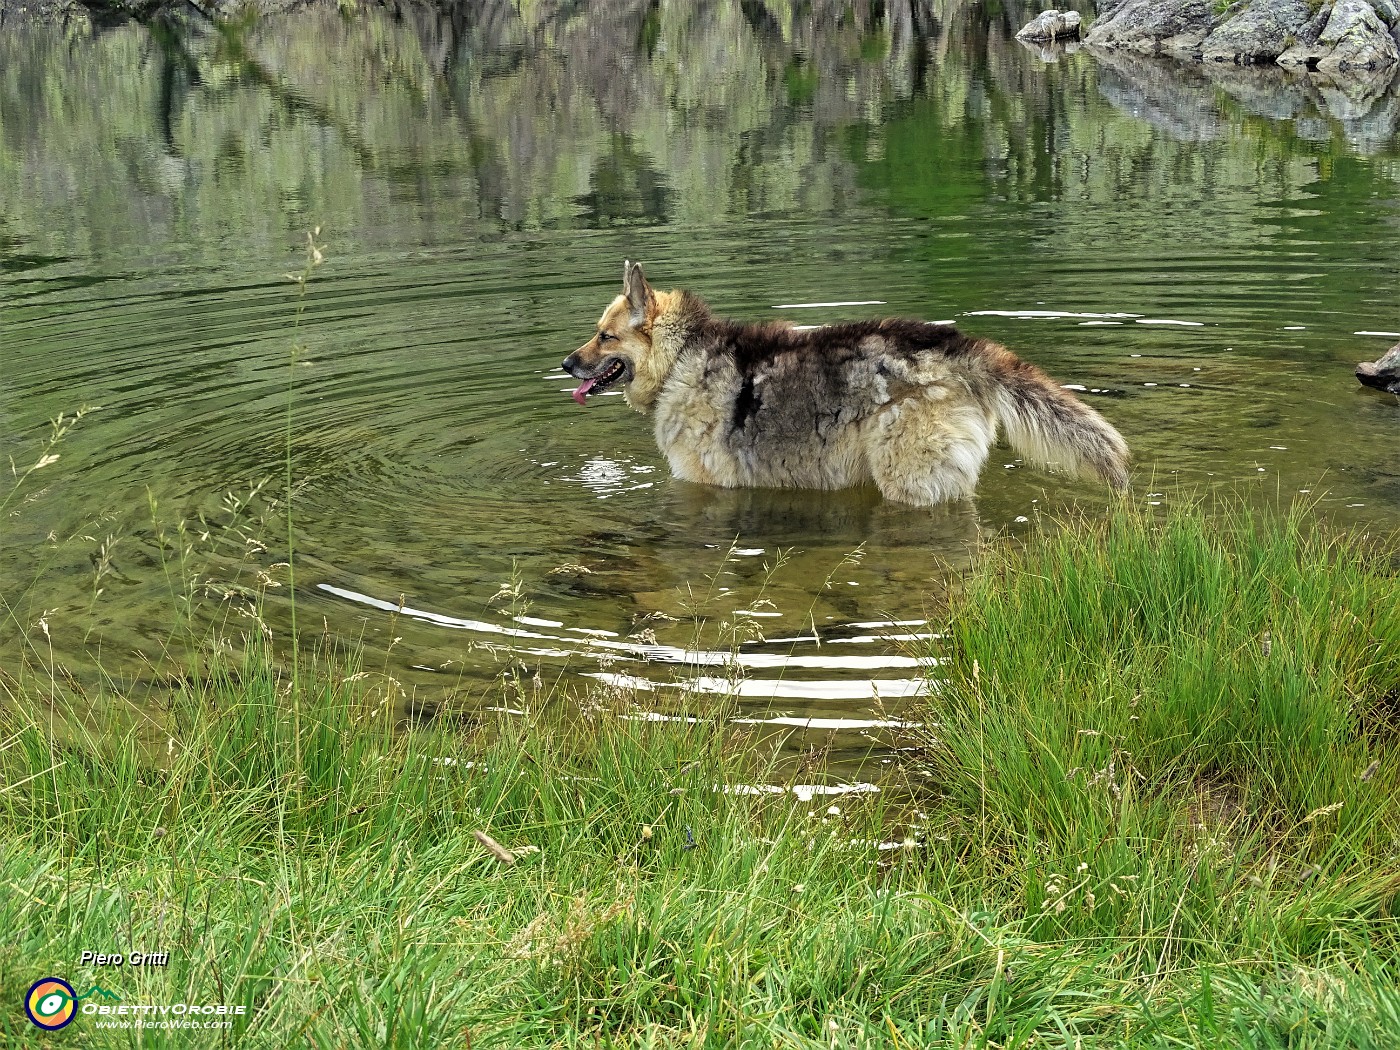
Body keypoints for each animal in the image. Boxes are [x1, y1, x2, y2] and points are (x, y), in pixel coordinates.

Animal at [562, 263, 1131, 509]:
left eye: (604, 335)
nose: (567, 364)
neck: (681, 357)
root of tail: (957, 346)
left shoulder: (704, 484)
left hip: (911, 482)